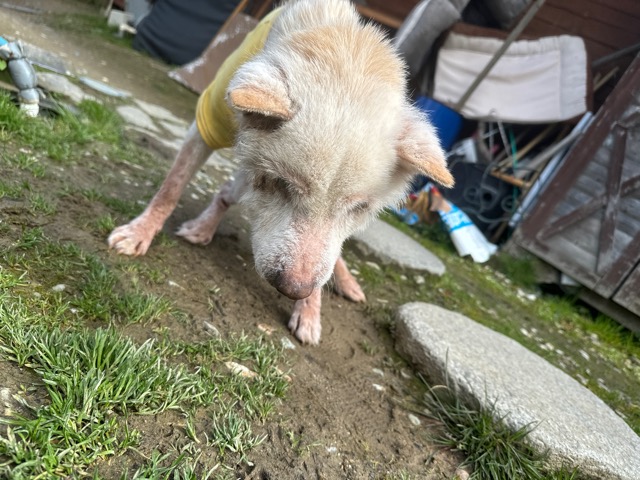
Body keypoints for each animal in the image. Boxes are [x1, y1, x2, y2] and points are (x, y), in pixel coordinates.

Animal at [108, 0, 453, 345]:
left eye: (359, 208)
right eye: (280, 184)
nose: (294, 290)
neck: (342, 49)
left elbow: (326, 258)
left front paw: (310, 311)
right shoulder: (207, 121)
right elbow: (171, 188)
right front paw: (139, 233)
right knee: (225, 193)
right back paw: (203, 228)